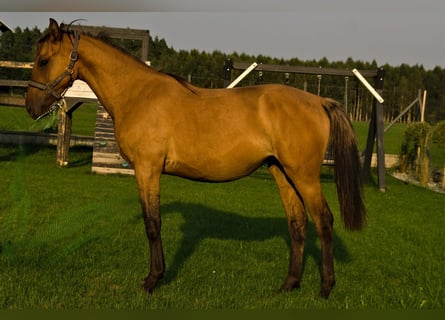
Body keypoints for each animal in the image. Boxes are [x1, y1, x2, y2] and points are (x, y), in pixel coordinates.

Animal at [26, 19, 364, 300]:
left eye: (43, 61)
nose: (31, 107)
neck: (138, 94)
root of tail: (319, 100)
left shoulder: (147, 170)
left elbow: (152, 223)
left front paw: (153, 280)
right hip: (282, 172)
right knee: (298, 224)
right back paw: (289, 285)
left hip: (304, 176)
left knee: (324, 221)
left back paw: (325, 287)